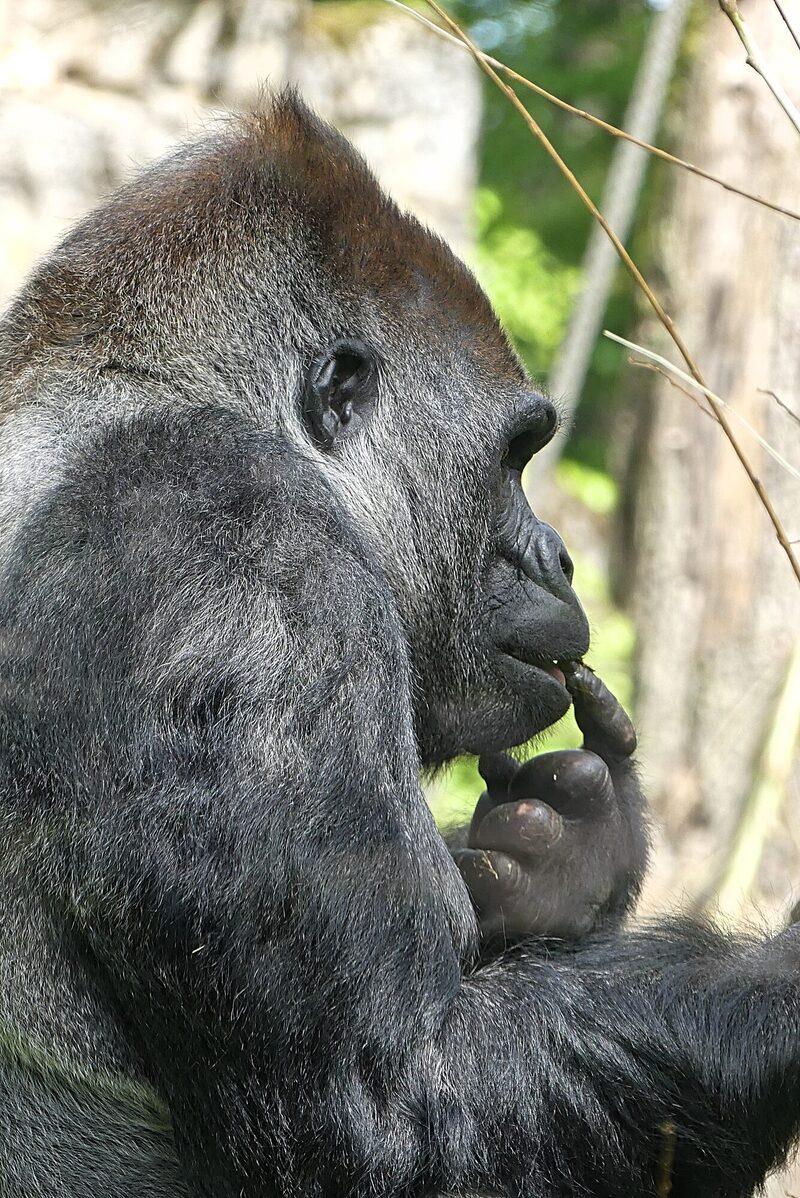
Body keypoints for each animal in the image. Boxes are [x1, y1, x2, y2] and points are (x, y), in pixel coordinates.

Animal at [1, 93, 800, 1198]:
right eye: (515, 455)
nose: (559, 556)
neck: (140, 390)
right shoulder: (229, 555)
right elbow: (396, 1117)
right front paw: (787, 984)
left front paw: (567, 852)